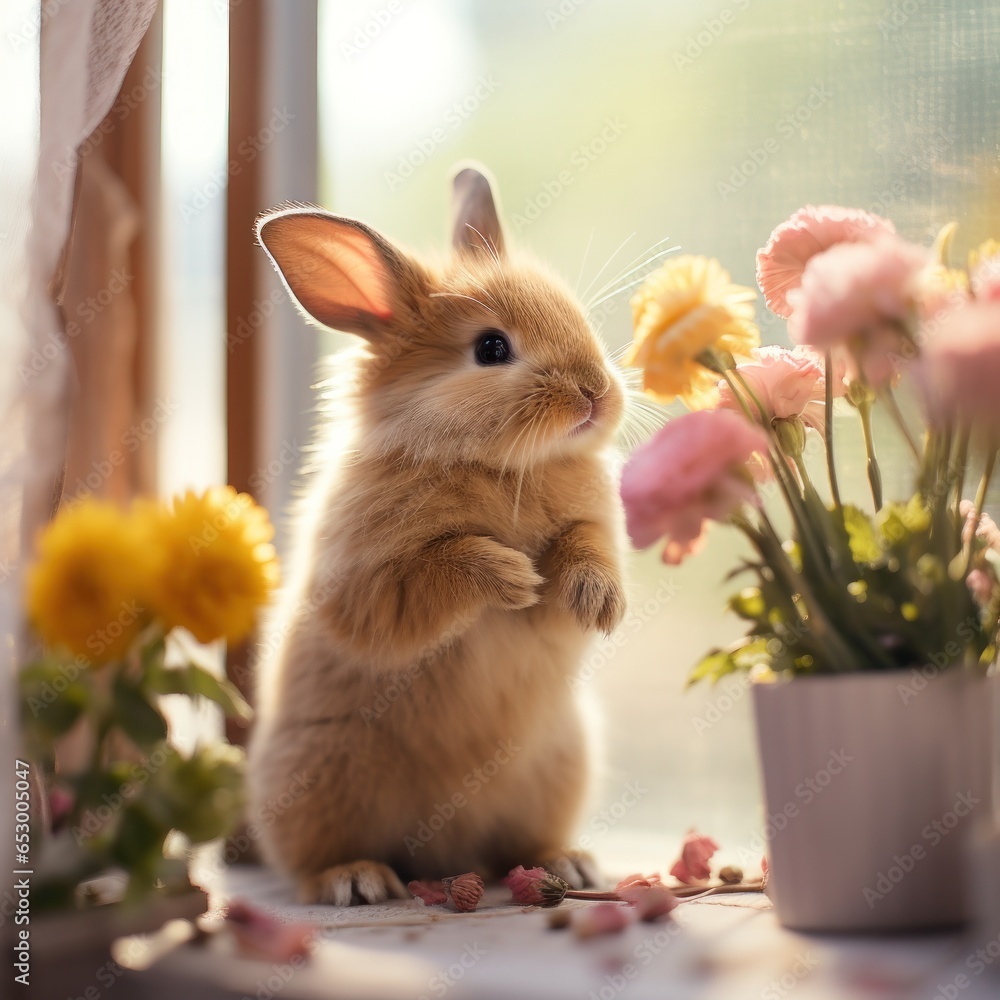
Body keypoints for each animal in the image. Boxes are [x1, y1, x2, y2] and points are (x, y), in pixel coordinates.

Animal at [249, 166, 624, 908]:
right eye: (491, 348)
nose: (596, 392)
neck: (494, 464)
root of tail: (448, 854)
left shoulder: (591, 527)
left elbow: (585, 547)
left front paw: (598, 601)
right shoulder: (367, 585)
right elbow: (435, 574)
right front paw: (511, 576)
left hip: (557, 766)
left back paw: (570, 866)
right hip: (320, 778)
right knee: (314, 862)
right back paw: (357, 880)